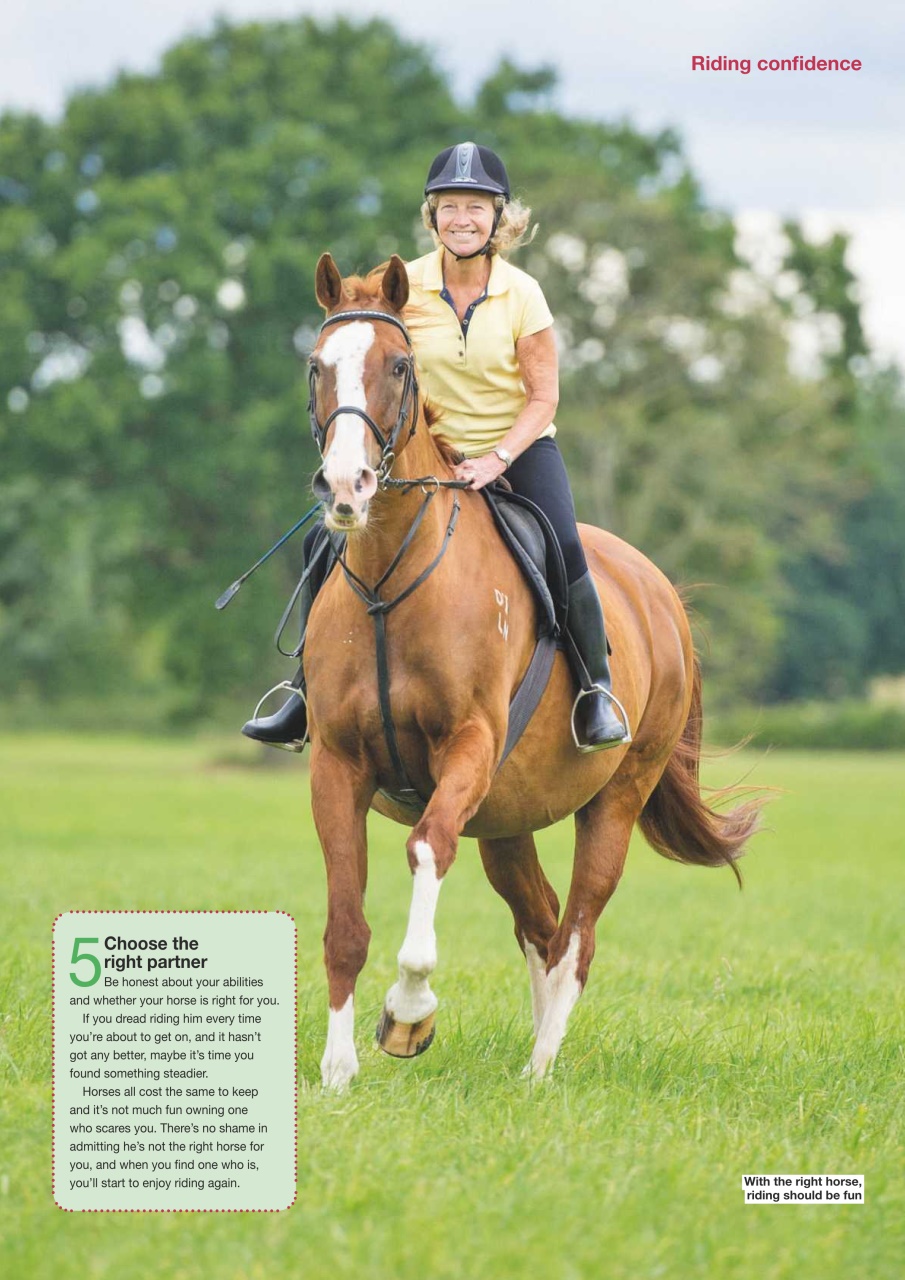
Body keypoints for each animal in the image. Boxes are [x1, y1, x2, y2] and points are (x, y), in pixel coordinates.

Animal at [302, 252, 763, 1089]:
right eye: (317, 366)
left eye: (398, 366)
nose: (345, 487)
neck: (391, 581)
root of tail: (662, 596)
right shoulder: (338, 764)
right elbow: (345, 919)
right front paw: (339, 1069)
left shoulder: (467, 748)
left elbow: (426, 850)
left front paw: (409, 1011)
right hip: (505, 817)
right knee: (541, 922)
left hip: (613, 798)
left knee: (576, 929)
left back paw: (540, 1065)